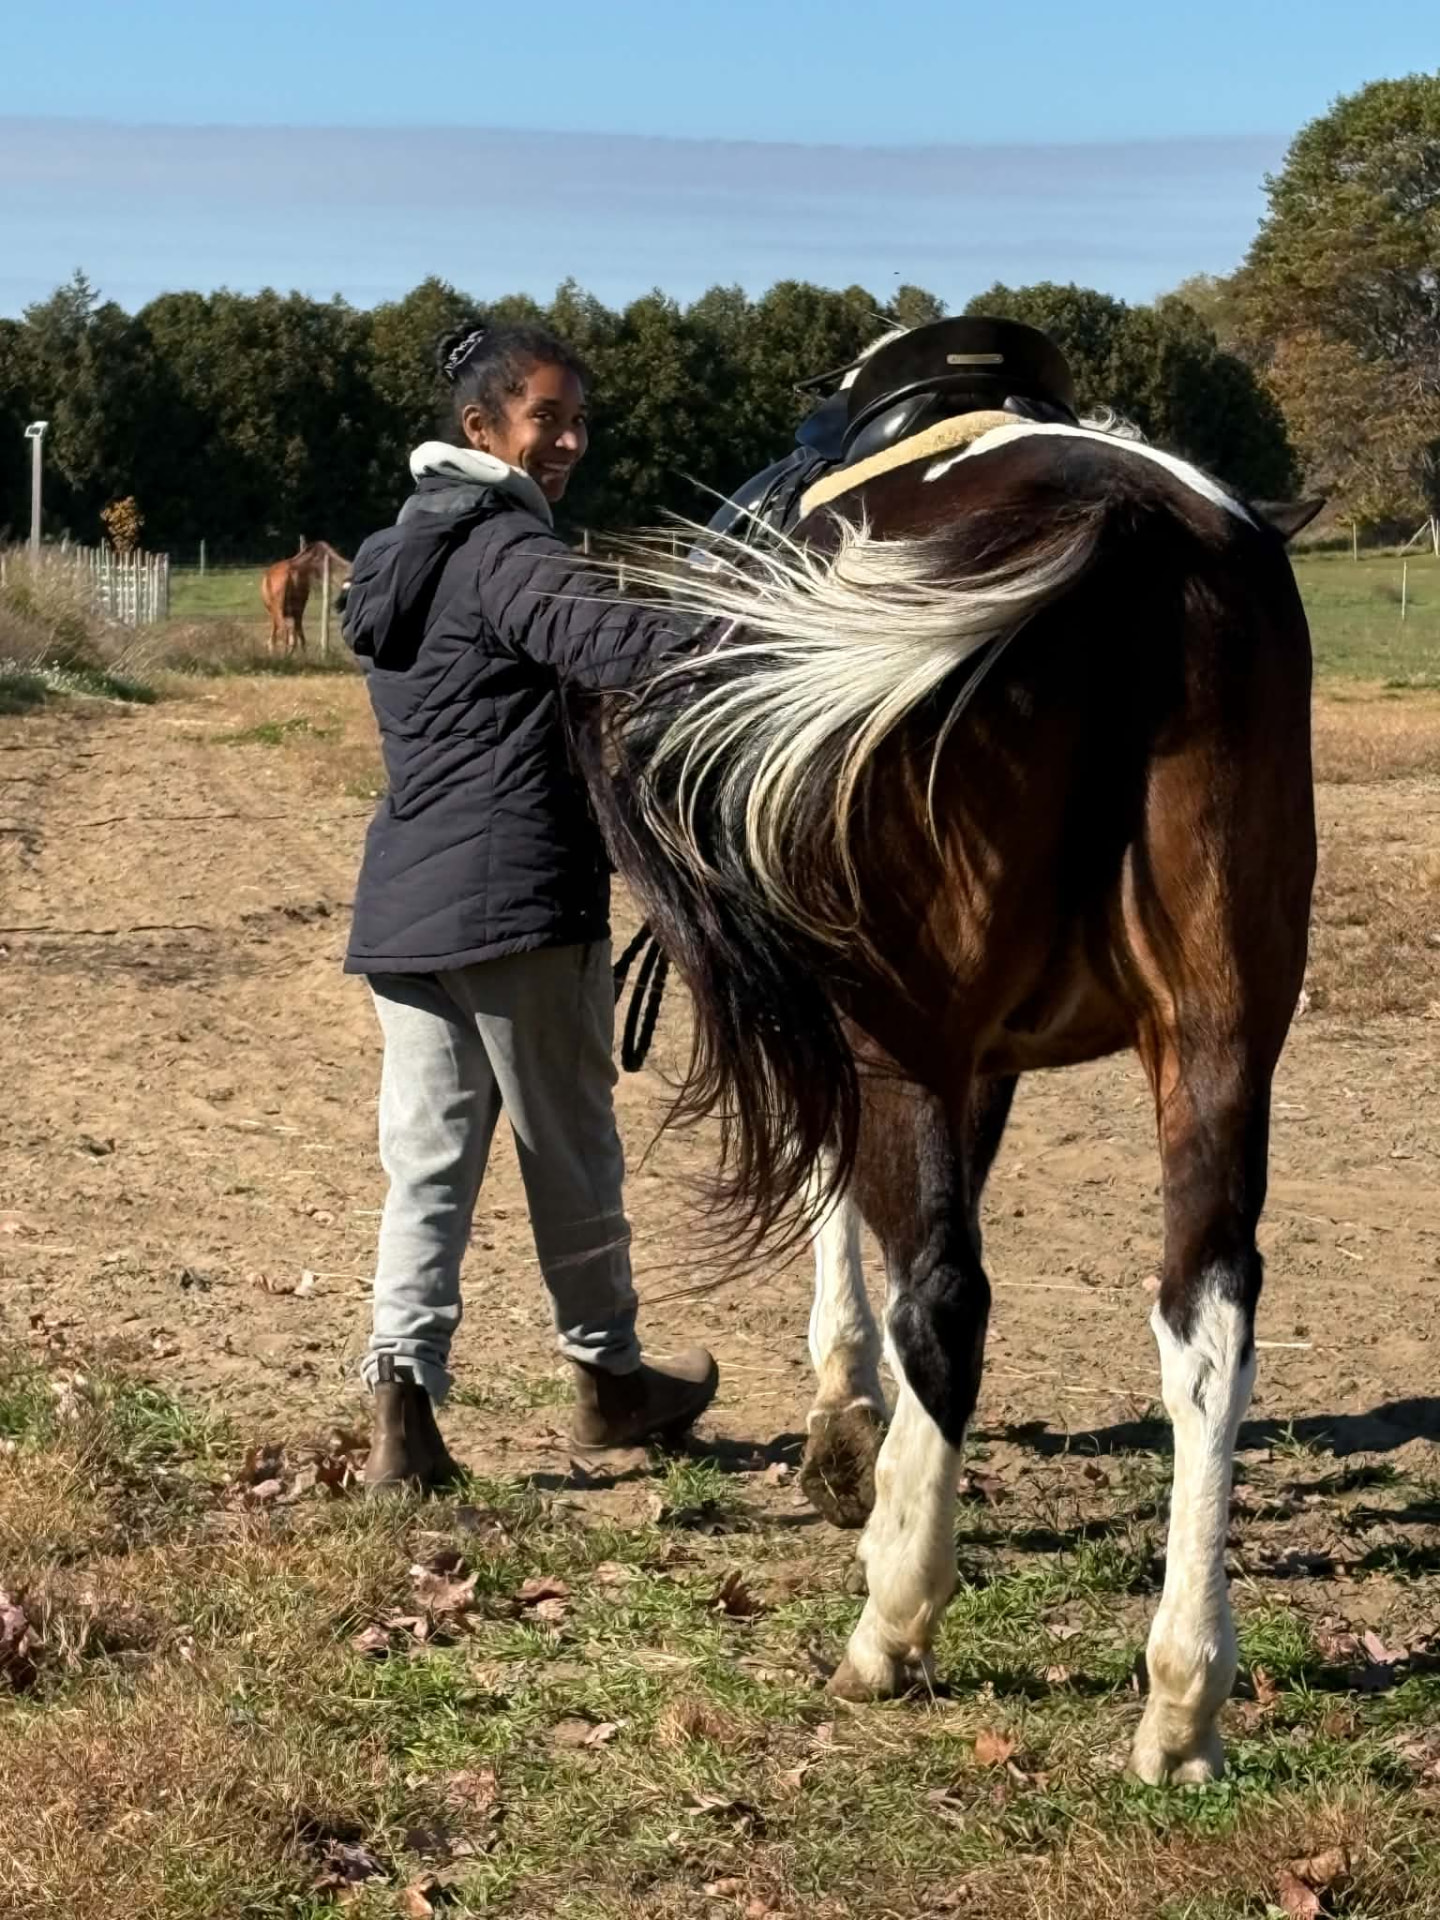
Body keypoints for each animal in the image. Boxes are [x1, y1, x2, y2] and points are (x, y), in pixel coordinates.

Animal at [582, 418, 1318, 1787]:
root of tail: (1130, 524)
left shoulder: (884, 1043)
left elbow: (864, 1229)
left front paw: (846, 1439)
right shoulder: (995, 1063)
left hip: (905, 1033)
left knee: (947, 1301)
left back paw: (893, 1624)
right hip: (1219, 1038)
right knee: (1207, 1321)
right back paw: (1183, 1698)